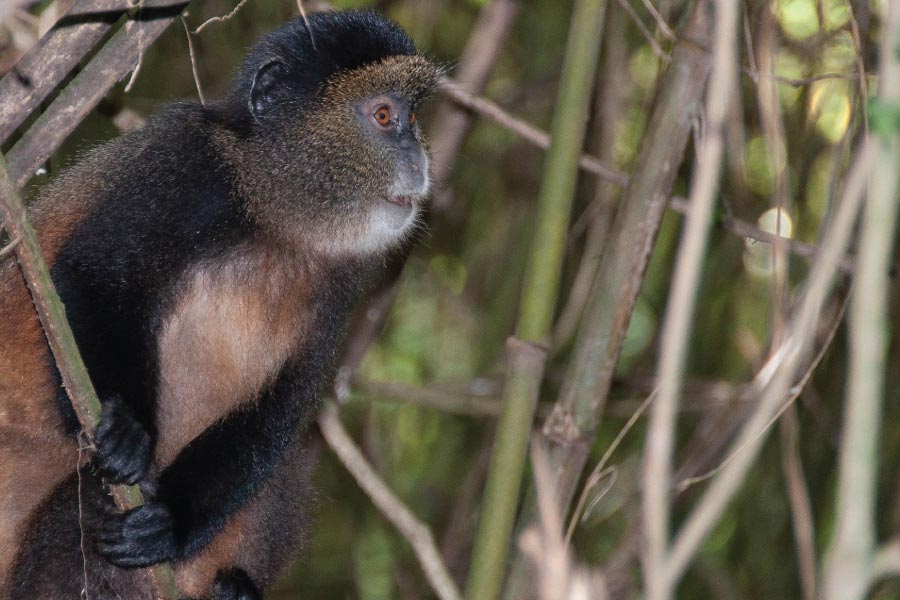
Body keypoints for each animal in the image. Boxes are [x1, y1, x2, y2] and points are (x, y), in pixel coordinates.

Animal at [0, 9, 441, 599]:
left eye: (413, 117)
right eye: (385, 115)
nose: (419, 158)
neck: (274, 214)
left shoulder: (340, 282)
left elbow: (282, 403)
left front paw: (174, 522)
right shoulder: (185, 169)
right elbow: (91, 273)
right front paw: (126, 433)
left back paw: (233, 587)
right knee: (82, 507)